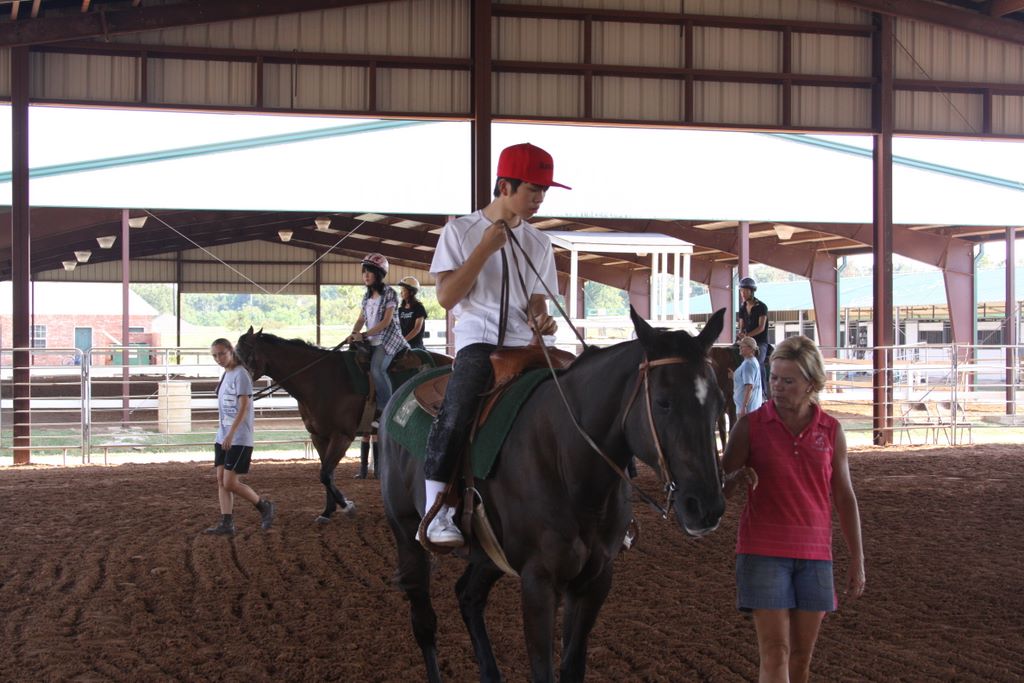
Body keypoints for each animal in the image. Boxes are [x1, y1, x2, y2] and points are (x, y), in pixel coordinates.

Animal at [234, 327, 451, 522]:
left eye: (246, 356)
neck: (319, 379)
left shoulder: (342, 436)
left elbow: (325, 474)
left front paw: (347, 506)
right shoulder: (319, 436)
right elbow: (327, 474)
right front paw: (327, 511)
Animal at [380, 307, 727, 682]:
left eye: (719, 401)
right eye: (663, 402)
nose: (706, 507)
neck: (569, 463)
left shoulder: (594, 580)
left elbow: (572, 666)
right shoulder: (539, 582)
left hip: (488, 555)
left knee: (468, 597)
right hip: (406, 535)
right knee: (424, 621)